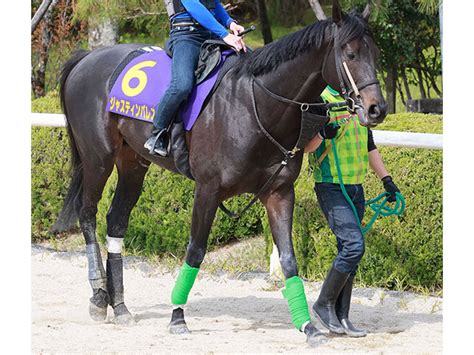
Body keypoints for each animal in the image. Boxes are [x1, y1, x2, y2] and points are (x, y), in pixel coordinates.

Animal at [52, 0, 386, 344]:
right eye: (350, 53)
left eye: (374, 52)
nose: (377, 109)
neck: (254, 104)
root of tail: (86, 58)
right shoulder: (207, 190)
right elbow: (196, 251)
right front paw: (177, 316)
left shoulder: (279, 193)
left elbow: (289, 260)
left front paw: (307, 326)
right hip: (97, 158)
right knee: (87, 213)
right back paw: (98, 296)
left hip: (132, 163)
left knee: (116, 221)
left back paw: (119, 306)